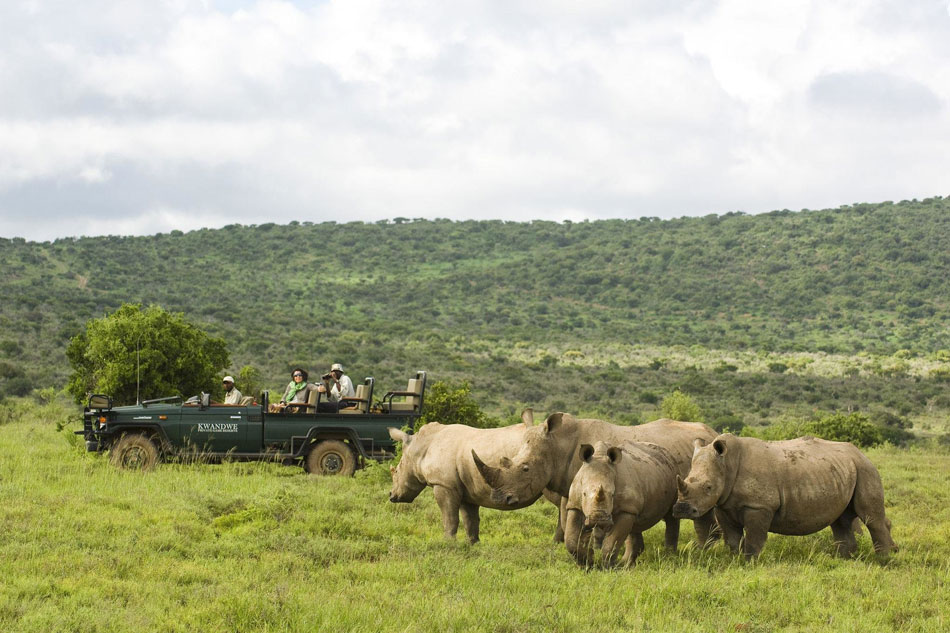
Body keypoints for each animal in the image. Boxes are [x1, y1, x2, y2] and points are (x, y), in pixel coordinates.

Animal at [388, 422, 536, 543]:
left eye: (397, 471)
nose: (391, 495)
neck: (420, 447)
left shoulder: (444, 484)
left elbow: (450, 518)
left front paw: (447, 543)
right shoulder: (468, 489)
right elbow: (470, 520)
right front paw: (473, 544)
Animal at [472, 410, 719, 549]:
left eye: (525, 468)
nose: (499, 498)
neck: (557, 445)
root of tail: (713, 432)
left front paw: (595, 545)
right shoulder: (571, 487)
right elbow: (565, 517)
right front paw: (563, 543)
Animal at [672, 433, 898, 559]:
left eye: (708, 487)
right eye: (686, 478)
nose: (681, 509)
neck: (727, 464)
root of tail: (861, 453)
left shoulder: (759, 505)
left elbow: (753, 538)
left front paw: (749, 562)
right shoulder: (724, 505)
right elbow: (732, 539)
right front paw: (733, 560)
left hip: (865, 469)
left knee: (871, 518)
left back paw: (883, 560)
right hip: (845, 469)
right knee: (841, 520)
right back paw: (844, 558)